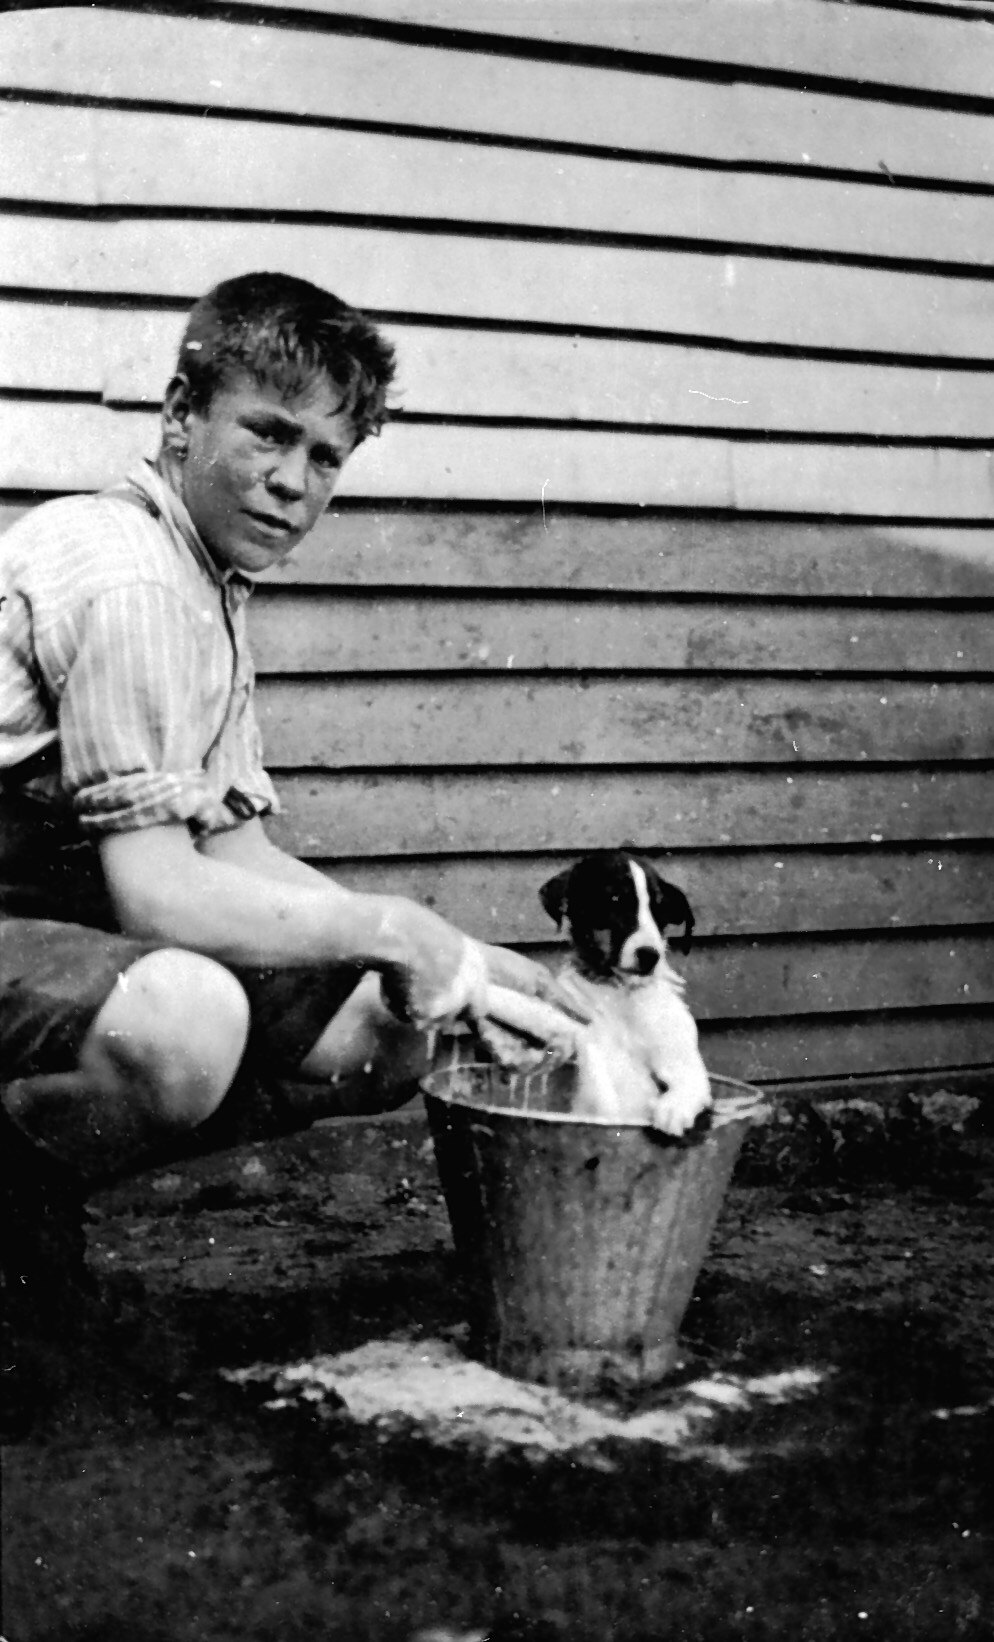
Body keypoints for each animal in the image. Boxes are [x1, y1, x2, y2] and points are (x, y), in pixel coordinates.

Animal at [539, 849, 712, 1136]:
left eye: (660, 910)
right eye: (614, 899)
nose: (650, 956)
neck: (622, 997)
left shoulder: (684, 1063)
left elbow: (689, 1084)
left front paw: (673, 1110)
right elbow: (603, 1094)